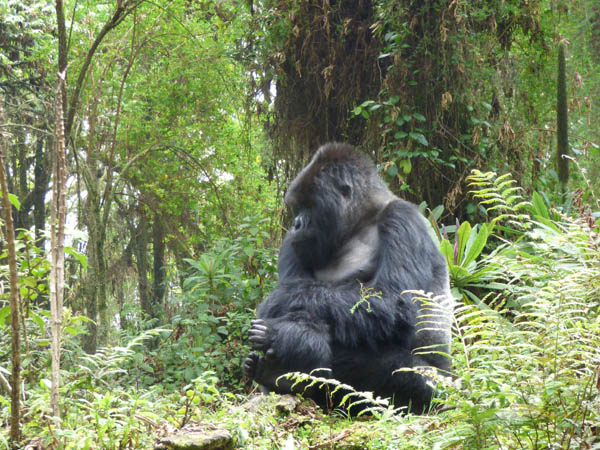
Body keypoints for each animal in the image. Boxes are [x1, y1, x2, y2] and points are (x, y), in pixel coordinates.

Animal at [241, 142, 452, 414]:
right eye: (298, 207)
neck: (362, 220)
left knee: (404, 368)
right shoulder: (294, 241)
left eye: (310, 205)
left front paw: (287, 328)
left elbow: (395, 301)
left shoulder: (402, 216)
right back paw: (279, 375)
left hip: (444, 389)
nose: (296, 224)